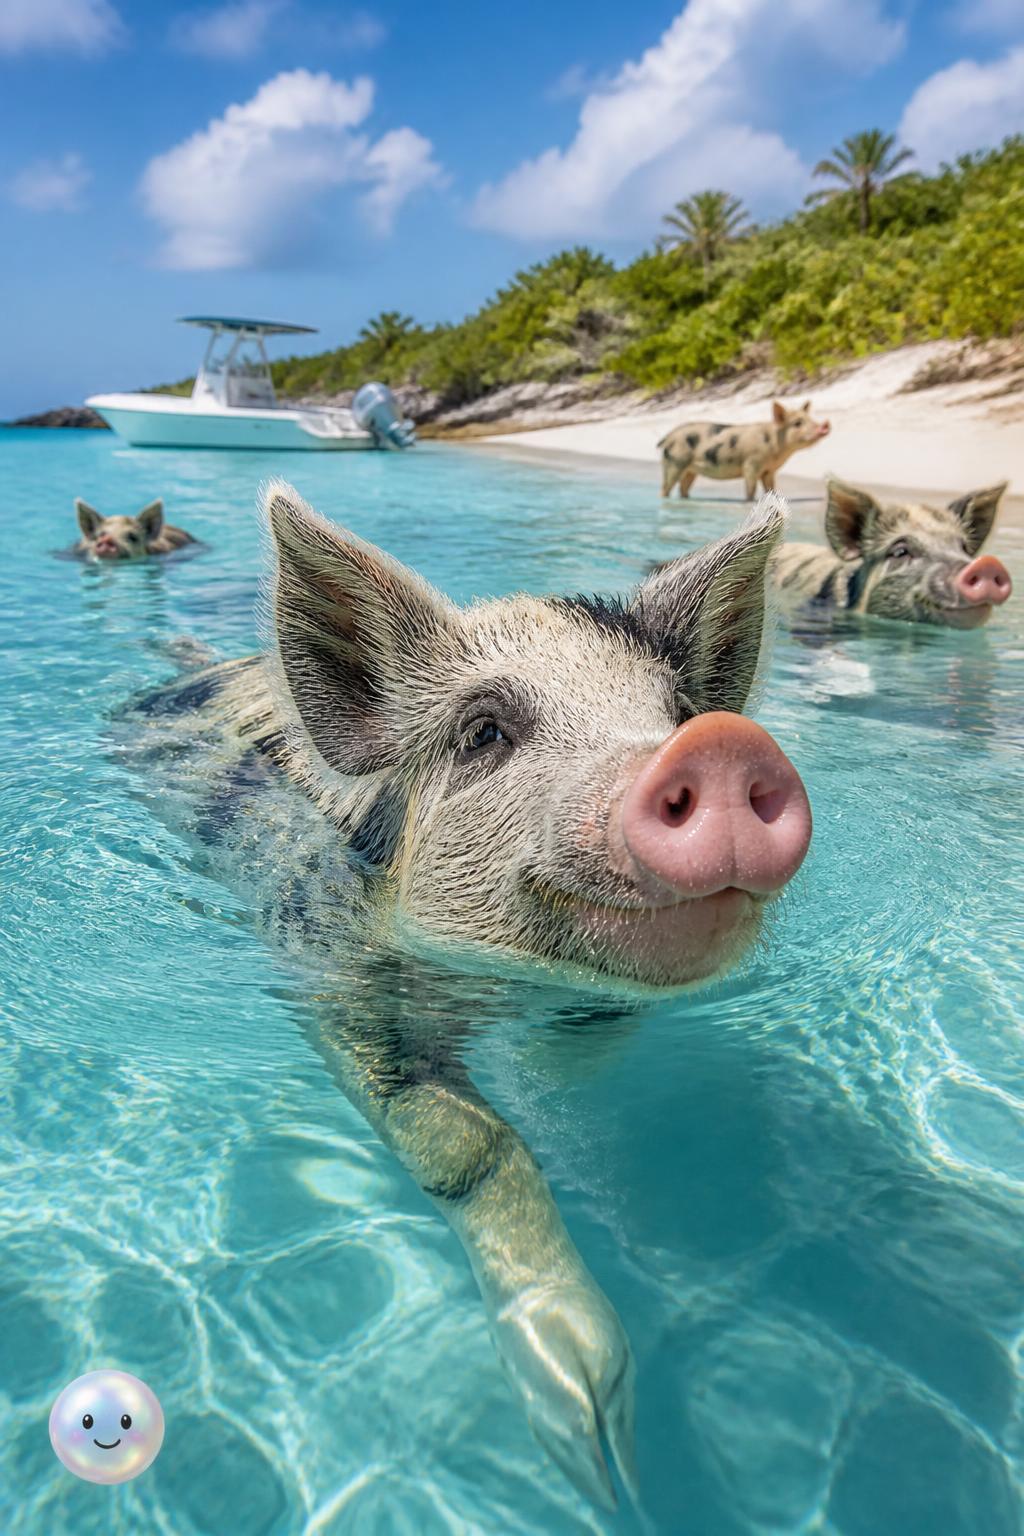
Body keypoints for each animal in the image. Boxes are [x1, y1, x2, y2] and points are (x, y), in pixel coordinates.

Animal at [117, 481, 812, 1508]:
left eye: (679, 710)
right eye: (484, 731)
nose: (723, 744)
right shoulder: (323, 962)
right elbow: (471, 1145)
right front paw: (596, 1443)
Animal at [659, 400, 831, 500]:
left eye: (810, 419)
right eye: (797, 423)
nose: (824, 426)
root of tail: (668, 436)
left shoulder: (769, 471)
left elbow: (771, 488)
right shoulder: (751, 464)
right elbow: (751, 488)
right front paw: (749, 501)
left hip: (690, 470)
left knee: (683, 486)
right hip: (675, 462)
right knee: (666, 487)